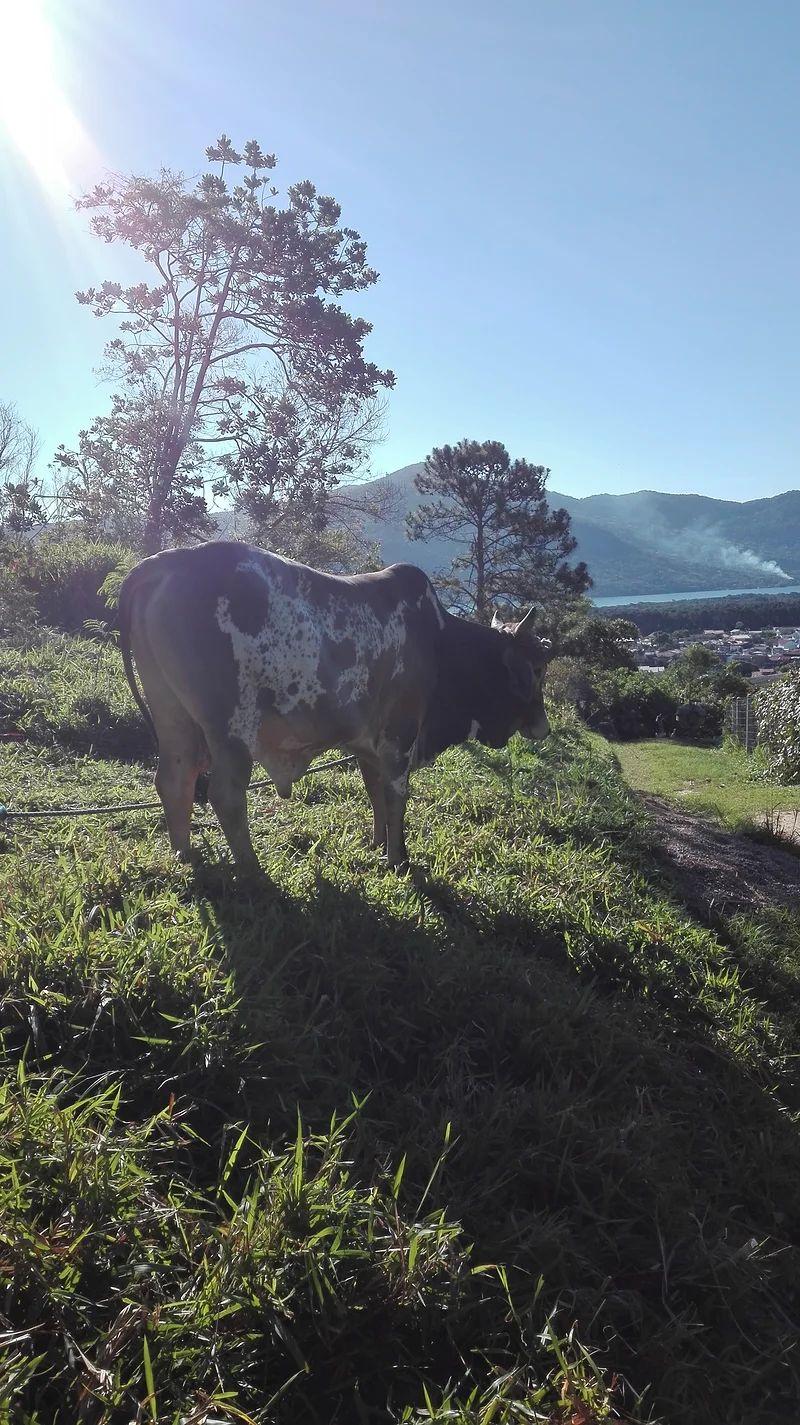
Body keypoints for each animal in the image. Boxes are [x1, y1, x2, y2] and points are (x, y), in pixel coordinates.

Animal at [118, 542, 552, 872]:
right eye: (537, 668)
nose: (543, 727)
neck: (440, 643)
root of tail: (168, 560)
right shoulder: (400, 740)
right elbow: (396, 800)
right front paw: (398, 860)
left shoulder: (368, 746)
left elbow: (375, 794)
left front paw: (377, 846)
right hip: (232, 728)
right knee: (225, 795)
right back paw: (254, 872)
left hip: (172, 715)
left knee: (174, 781)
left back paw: (186, 855)